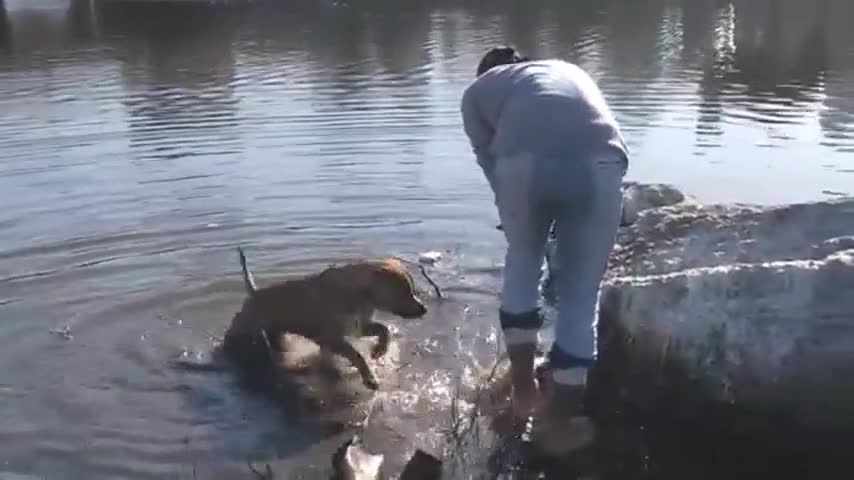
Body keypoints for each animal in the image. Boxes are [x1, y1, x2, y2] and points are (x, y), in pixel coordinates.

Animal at [226, 248, 428, 390]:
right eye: (404, 293)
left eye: (412, 290)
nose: (424, 309)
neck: (359, 294)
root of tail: (254, 292)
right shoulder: (332, 337)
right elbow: (357, 354)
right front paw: (370, 379)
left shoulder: (358, 326)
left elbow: (383, 329)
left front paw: (379, 349)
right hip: (243, 325)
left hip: (278, 332)